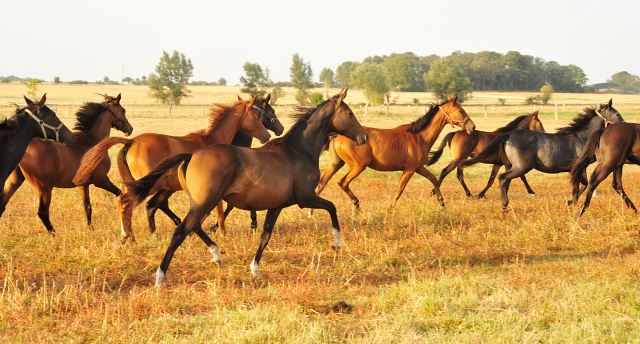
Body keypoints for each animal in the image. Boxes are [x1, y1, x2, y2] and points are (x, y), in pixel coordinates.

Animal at [1, 94, 132, 232]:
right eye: (123, 110)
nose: (130, 129)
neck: (94, 142)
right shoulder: (101, 180)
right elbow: (121, 194)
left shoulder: (83, 185)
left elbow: (87, 207)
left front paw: (91, 230)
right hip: (44, 188)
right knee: (43, 213)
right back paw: (55, 234)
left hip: (14, 182)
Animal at [74, 95, 274, 243]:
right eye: (258, 116)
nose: (267, 136)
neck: (211, 140)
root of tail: (130, 141)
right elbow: (217, 210)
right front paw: (222, 234)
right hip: (148, 185)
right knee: (126, 201)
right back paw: (128, 237)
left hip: (133, 183)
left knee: (124, 203)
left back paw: (129, 236)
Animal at [123, 88, 370, 284]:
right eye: (350, 113)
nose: (364, 137)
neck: (299, 150)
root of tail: (191, 154)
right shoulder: (305, 198)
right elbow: (332, 208)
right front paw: (336, 244)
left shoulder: (276, 206)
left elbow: (265, 236)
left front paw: (254, 270)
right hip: (204, 202)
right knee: (180, 231)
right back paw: (160, 276)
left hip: (202, 202)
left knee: (193, 226)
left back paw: (216, 254)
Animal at [312, 94, 472, 212]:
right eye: (461, 111)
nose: (472, 126)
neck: (419, 137)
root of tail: (336, 135)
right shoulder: (409, 170)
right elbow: (399, 190)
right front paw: (390, 210)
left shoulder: (418, 168)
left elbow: (433, 179)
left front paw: (442, 203)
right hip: (357, 166)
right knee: (342, 182)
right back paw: (356, 206)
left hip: (336, 164)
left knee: (321, 185)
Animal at [462, 99, 624, 210]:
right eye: (616, 113)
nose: (625, 124)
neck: (582, 139)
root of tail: (508, 134)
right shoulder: (578, 168)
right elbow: (582, 185)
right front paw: (571, 202)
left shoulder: (579, 169)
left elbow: (583, 185)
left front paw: (569, 202)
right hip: (522, 167)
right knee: (502, 178)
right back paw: (505, 205)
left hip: (510, 165)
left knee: (505, 181)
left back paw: (504, 205)